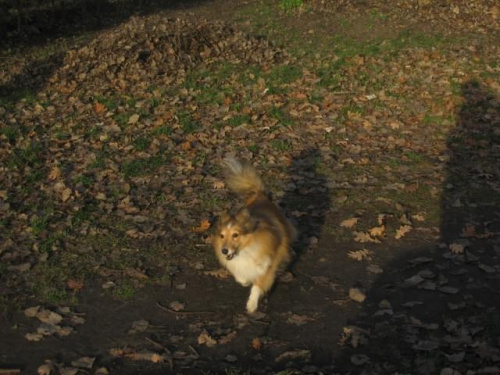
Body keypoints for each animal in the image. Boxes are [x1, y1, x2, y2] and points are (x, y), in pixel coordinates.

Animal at [212, 159, 296, 314]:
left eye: (235, 235)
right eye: (221, 236)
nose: (224, 251)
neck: (247, 248)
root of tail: (260, 195)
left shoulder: (268, 265)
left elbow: (258, 284)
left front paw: (251, 305)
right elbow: (241, 278)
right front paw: (245, 281)